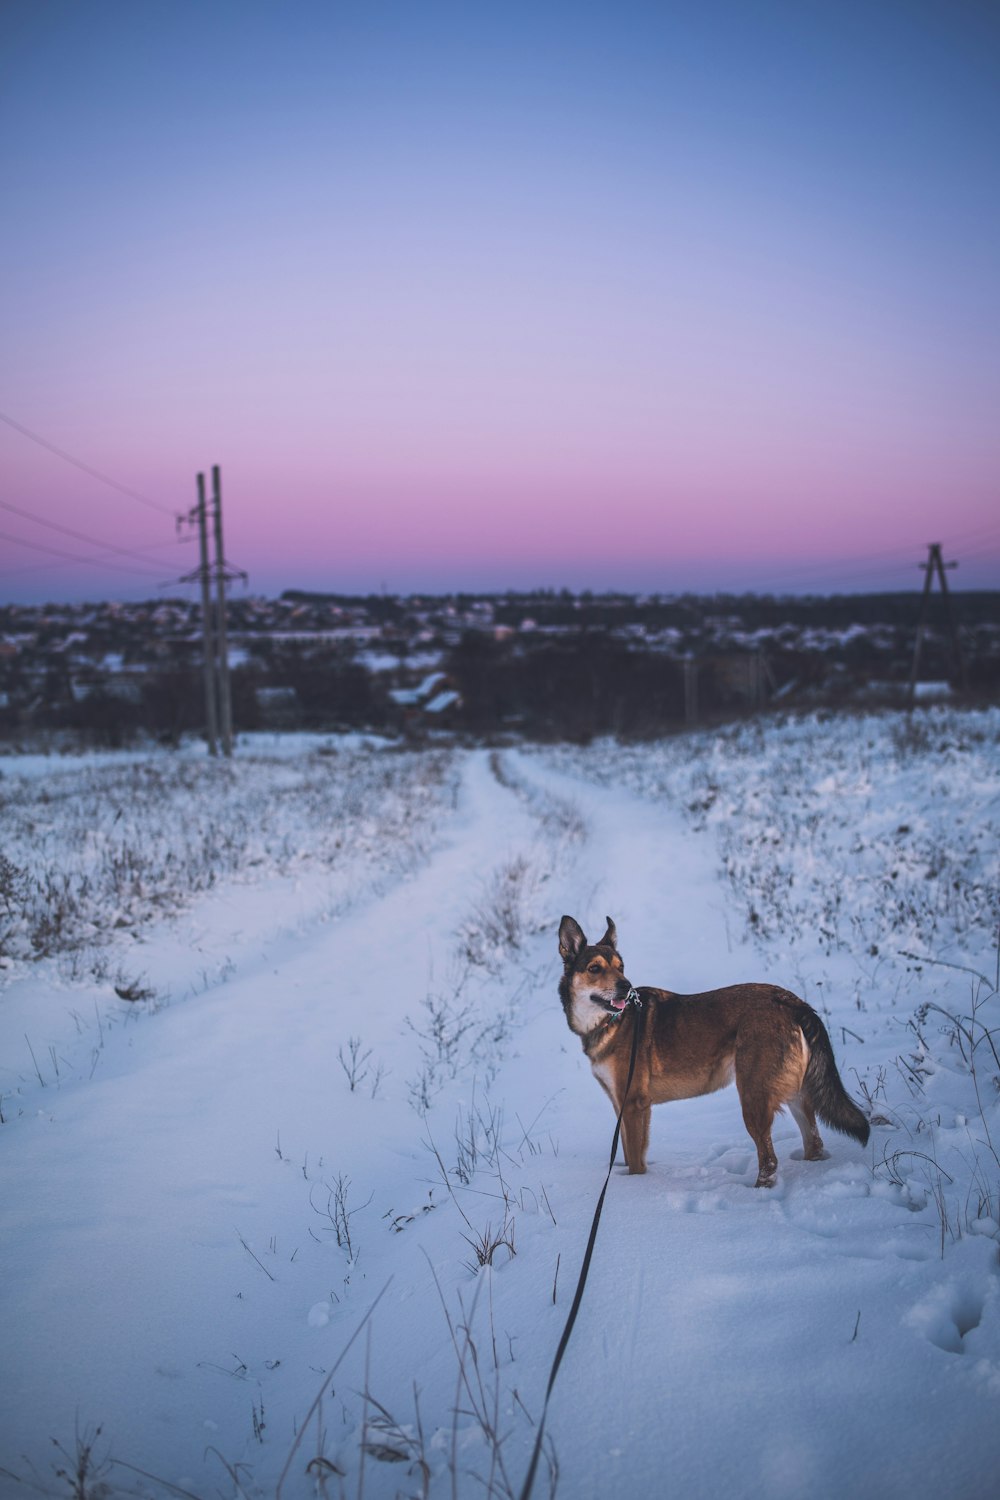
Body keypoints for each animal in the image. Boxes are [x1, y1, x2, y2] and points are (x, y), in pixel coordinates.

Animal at [560, 912, 869, 1182]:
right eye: (595, 969)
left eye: (620, 967)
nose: (626, 986)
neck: (609, 1022)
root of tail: (792, 1001)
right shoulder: (620, 1106)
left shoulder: (635, 1106)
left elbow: (636, 1163)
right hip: (795, 1094)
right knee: (814, 1143)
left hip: (753, 1097)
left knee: (770, 1161)